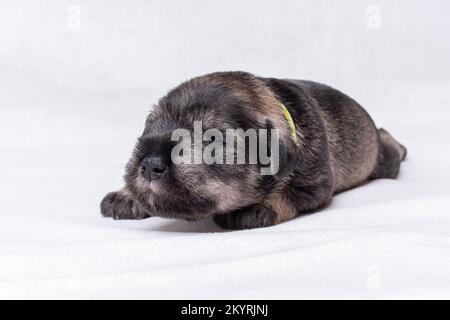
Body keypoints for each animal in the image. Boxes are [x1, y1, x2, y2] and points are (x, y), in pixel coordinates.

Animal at [101, 71, 408, 229]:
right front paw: (125, 195)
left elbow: (287, 193)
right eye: (149, 127)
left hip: (380, 159)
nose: (150, 164)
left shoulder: (314, 185)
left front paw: (256, 208)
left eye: (213, 140)